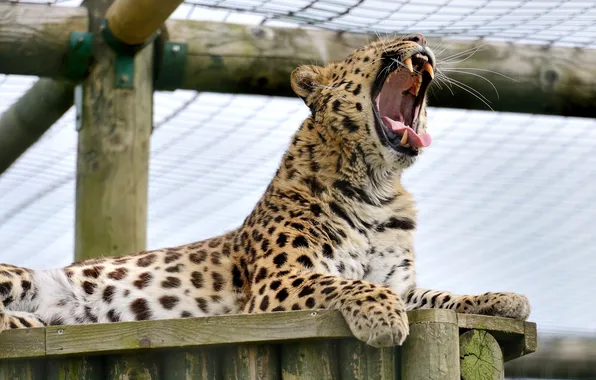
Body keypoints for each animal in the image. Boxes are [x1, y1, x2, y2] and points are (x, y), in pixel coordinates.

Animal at [0, 34, 532, 348]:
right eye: (384, 42)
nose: (420, 38)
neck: (377, 187)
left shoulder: (404, 284)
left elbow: (440, 295)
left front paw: (502, 299)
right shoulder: (281, 280)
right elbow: (349, 283)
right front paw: (383, 318)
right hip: (20, 276)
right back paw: (30, 322)